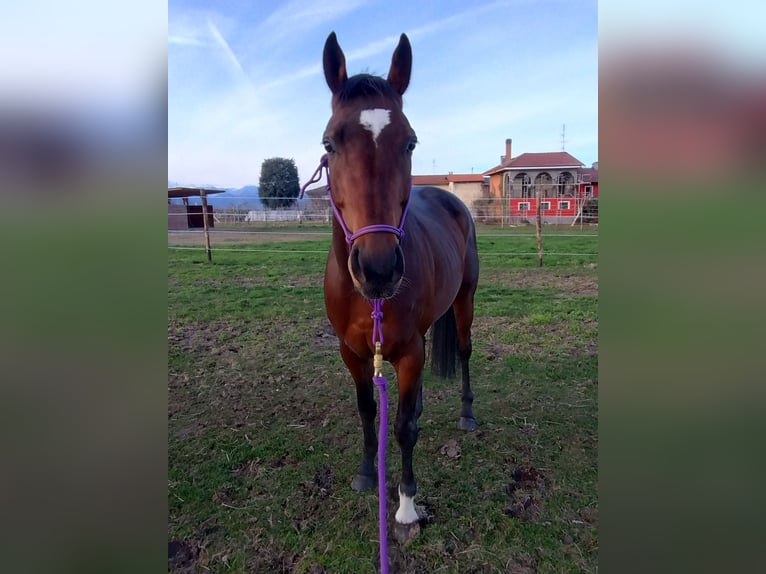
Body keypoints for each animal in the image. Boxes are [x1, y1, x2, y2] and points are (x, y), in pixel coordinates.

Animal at [318, 31, 480, 544]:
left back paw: (467, 414)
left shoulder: (409, 354)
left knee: (464, 352)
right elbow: (368, 410)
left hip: (465, 301)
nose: (378, 268)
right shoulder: (352, 353)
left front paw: (407, 506)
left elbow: (405, 428)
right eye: (330, 143)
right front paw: (367, 472)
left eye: (409, 142)